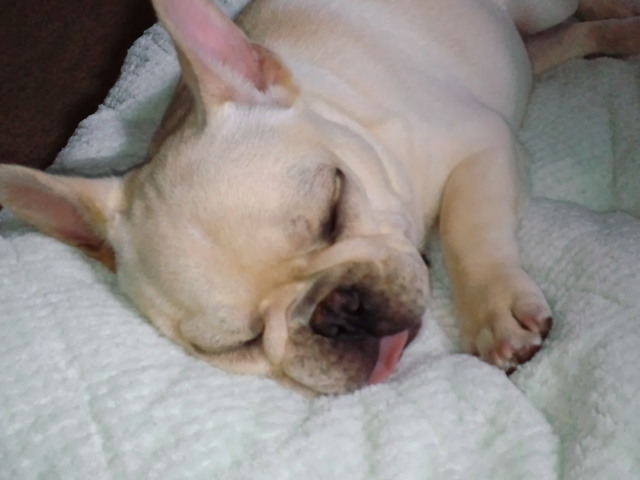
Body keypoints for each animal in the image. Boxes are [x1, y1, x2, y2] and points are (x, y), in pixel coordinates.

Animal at [1, 0, 639, 395]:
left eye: (334, 207)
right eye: (238, 344)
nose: (334, 311)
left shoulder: (483, 141)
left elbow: (467, 225)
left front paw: (492, 309)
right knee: (557, 42)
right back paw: (617, 32)